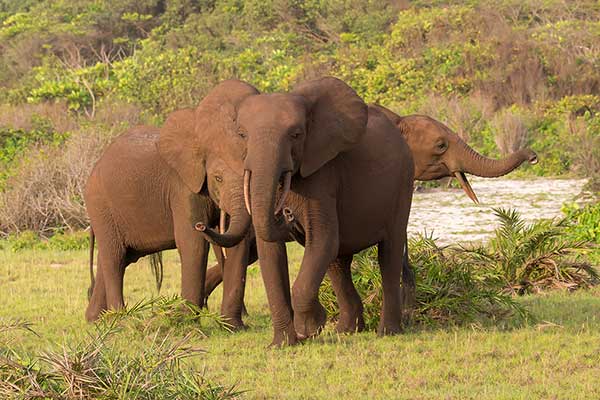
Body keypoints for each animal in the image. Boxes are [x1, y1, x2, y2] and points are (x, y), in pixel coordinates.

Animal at [84, 79, 258, 328]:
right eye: (218, 178)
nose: (203, 225)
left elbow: (237, 242)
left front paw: (233, 327)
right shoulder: (182, 184)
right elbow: (192, 242)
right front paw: (187, 322)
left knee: (120, 256)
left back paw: (96, 320)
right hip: (99, 203)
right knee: (114, 257)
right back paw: (121, 321)